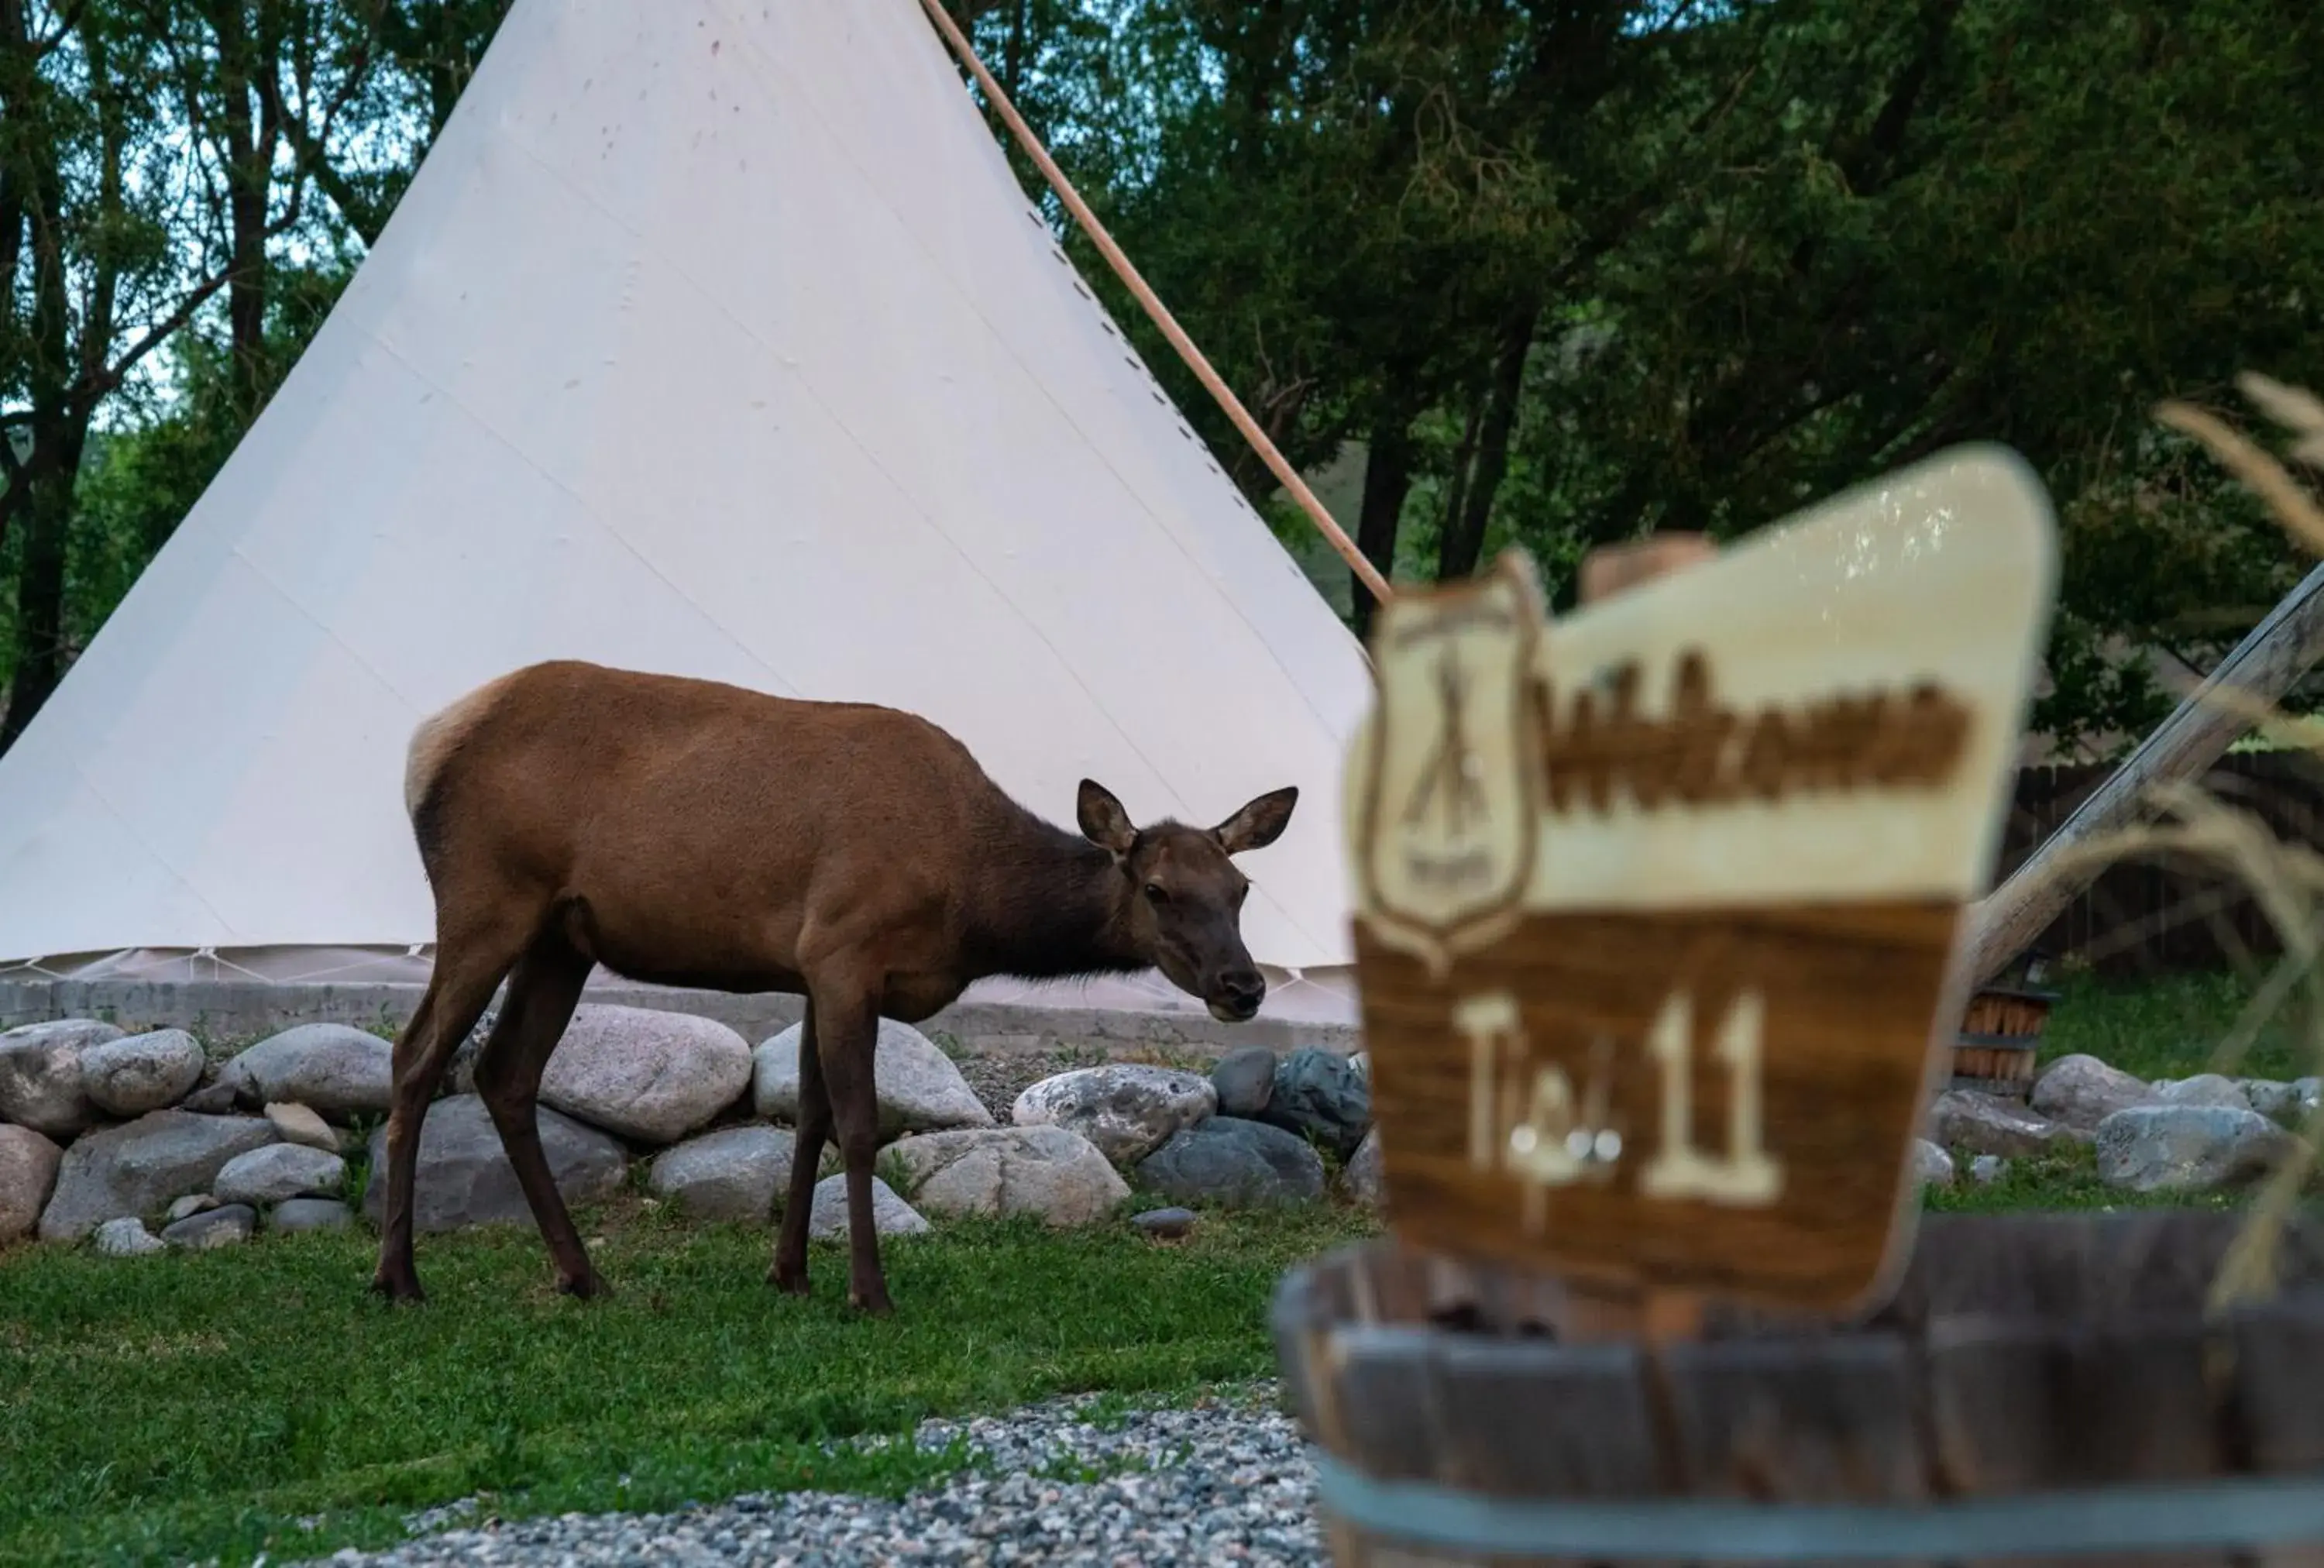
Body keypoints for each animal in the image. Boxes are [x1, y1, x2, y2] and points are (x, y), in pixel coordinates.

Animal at [372, 655, 1301, 1319]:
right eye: (1158, 890)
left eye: (1240, 889)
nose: (1244, 985)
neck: (968, 902)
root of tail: (423, 746)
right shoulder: (844, 948)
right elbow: (857, 1124)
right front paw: (869, 1291)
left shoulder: (820, 973)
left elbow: (811, 1115)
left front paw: (789, 1273)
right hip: (486, 898)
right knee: (416, 1056)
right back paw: (398, 1277)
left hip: (560, 937)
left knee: (504, 1072)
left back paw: (582, 1275)